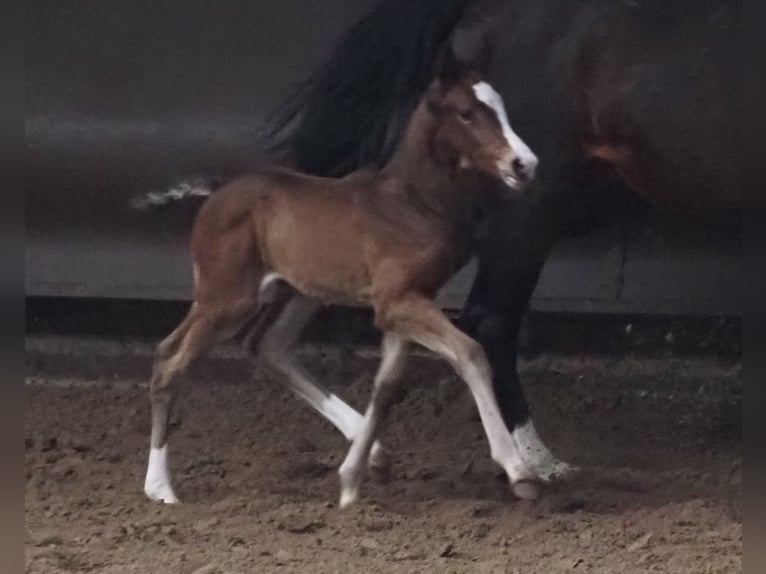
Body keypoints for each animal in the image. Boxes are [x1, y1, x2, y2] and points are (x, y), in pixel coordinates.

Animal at [142, 62, 540, 508]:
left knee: (260, 345)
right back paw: (160, 488)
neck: (412, 202)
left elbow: (387, 387)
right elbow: (470, 353)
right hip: (228, 299)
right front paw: (519, 470)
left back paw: (376, 455)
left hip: (296, 293)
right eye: (467, 113)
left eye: (500, 105)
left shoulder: (406, 303)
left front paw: (351, 484)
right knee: (171, 362)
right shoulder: (398, 302)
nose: (525, 164)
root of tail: (212, 196)